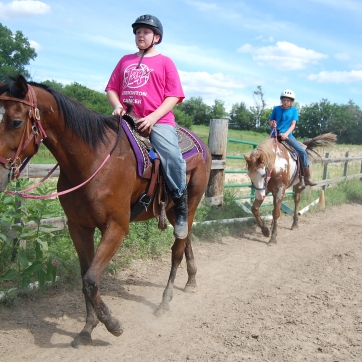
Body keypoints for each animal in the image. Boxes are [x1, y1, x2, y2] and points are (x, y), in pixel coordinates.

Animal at [0, 75, 212, 348]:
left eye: (15, 121)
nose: (0, 174)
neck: (93, 160)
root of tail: (201, 144)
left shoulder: (116, 228)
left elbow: (91, 280)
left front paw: (112, 324)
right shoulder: (78, 226)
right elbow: (85, 278)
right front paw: (88, 328)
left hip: (190, 204)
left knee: (176, 251)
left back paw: (165, 302)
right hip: (177, 212)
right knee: (186, 241)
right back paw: (192, 281)